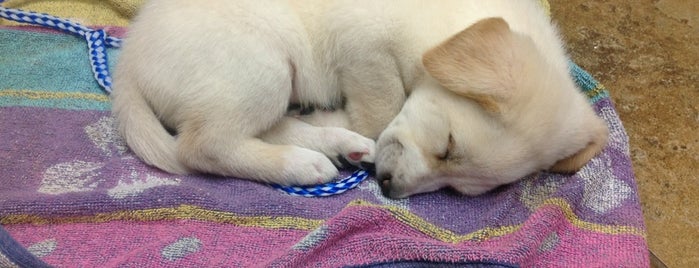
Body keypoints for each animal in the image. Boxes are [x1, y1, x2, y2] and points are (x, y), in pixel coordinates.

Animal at [113, 0, 608, 197]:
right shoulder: (364, 46)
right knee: (203, 145)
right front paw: (349, 120)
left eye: (459, 189)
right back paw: (303, 163)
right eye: (447, 146)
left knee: (253, 129)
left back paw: (334, 143)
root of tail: (128, 65)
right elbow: (381, 108)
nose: (388, 189)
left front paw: (337, 127)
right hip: (262, 65)